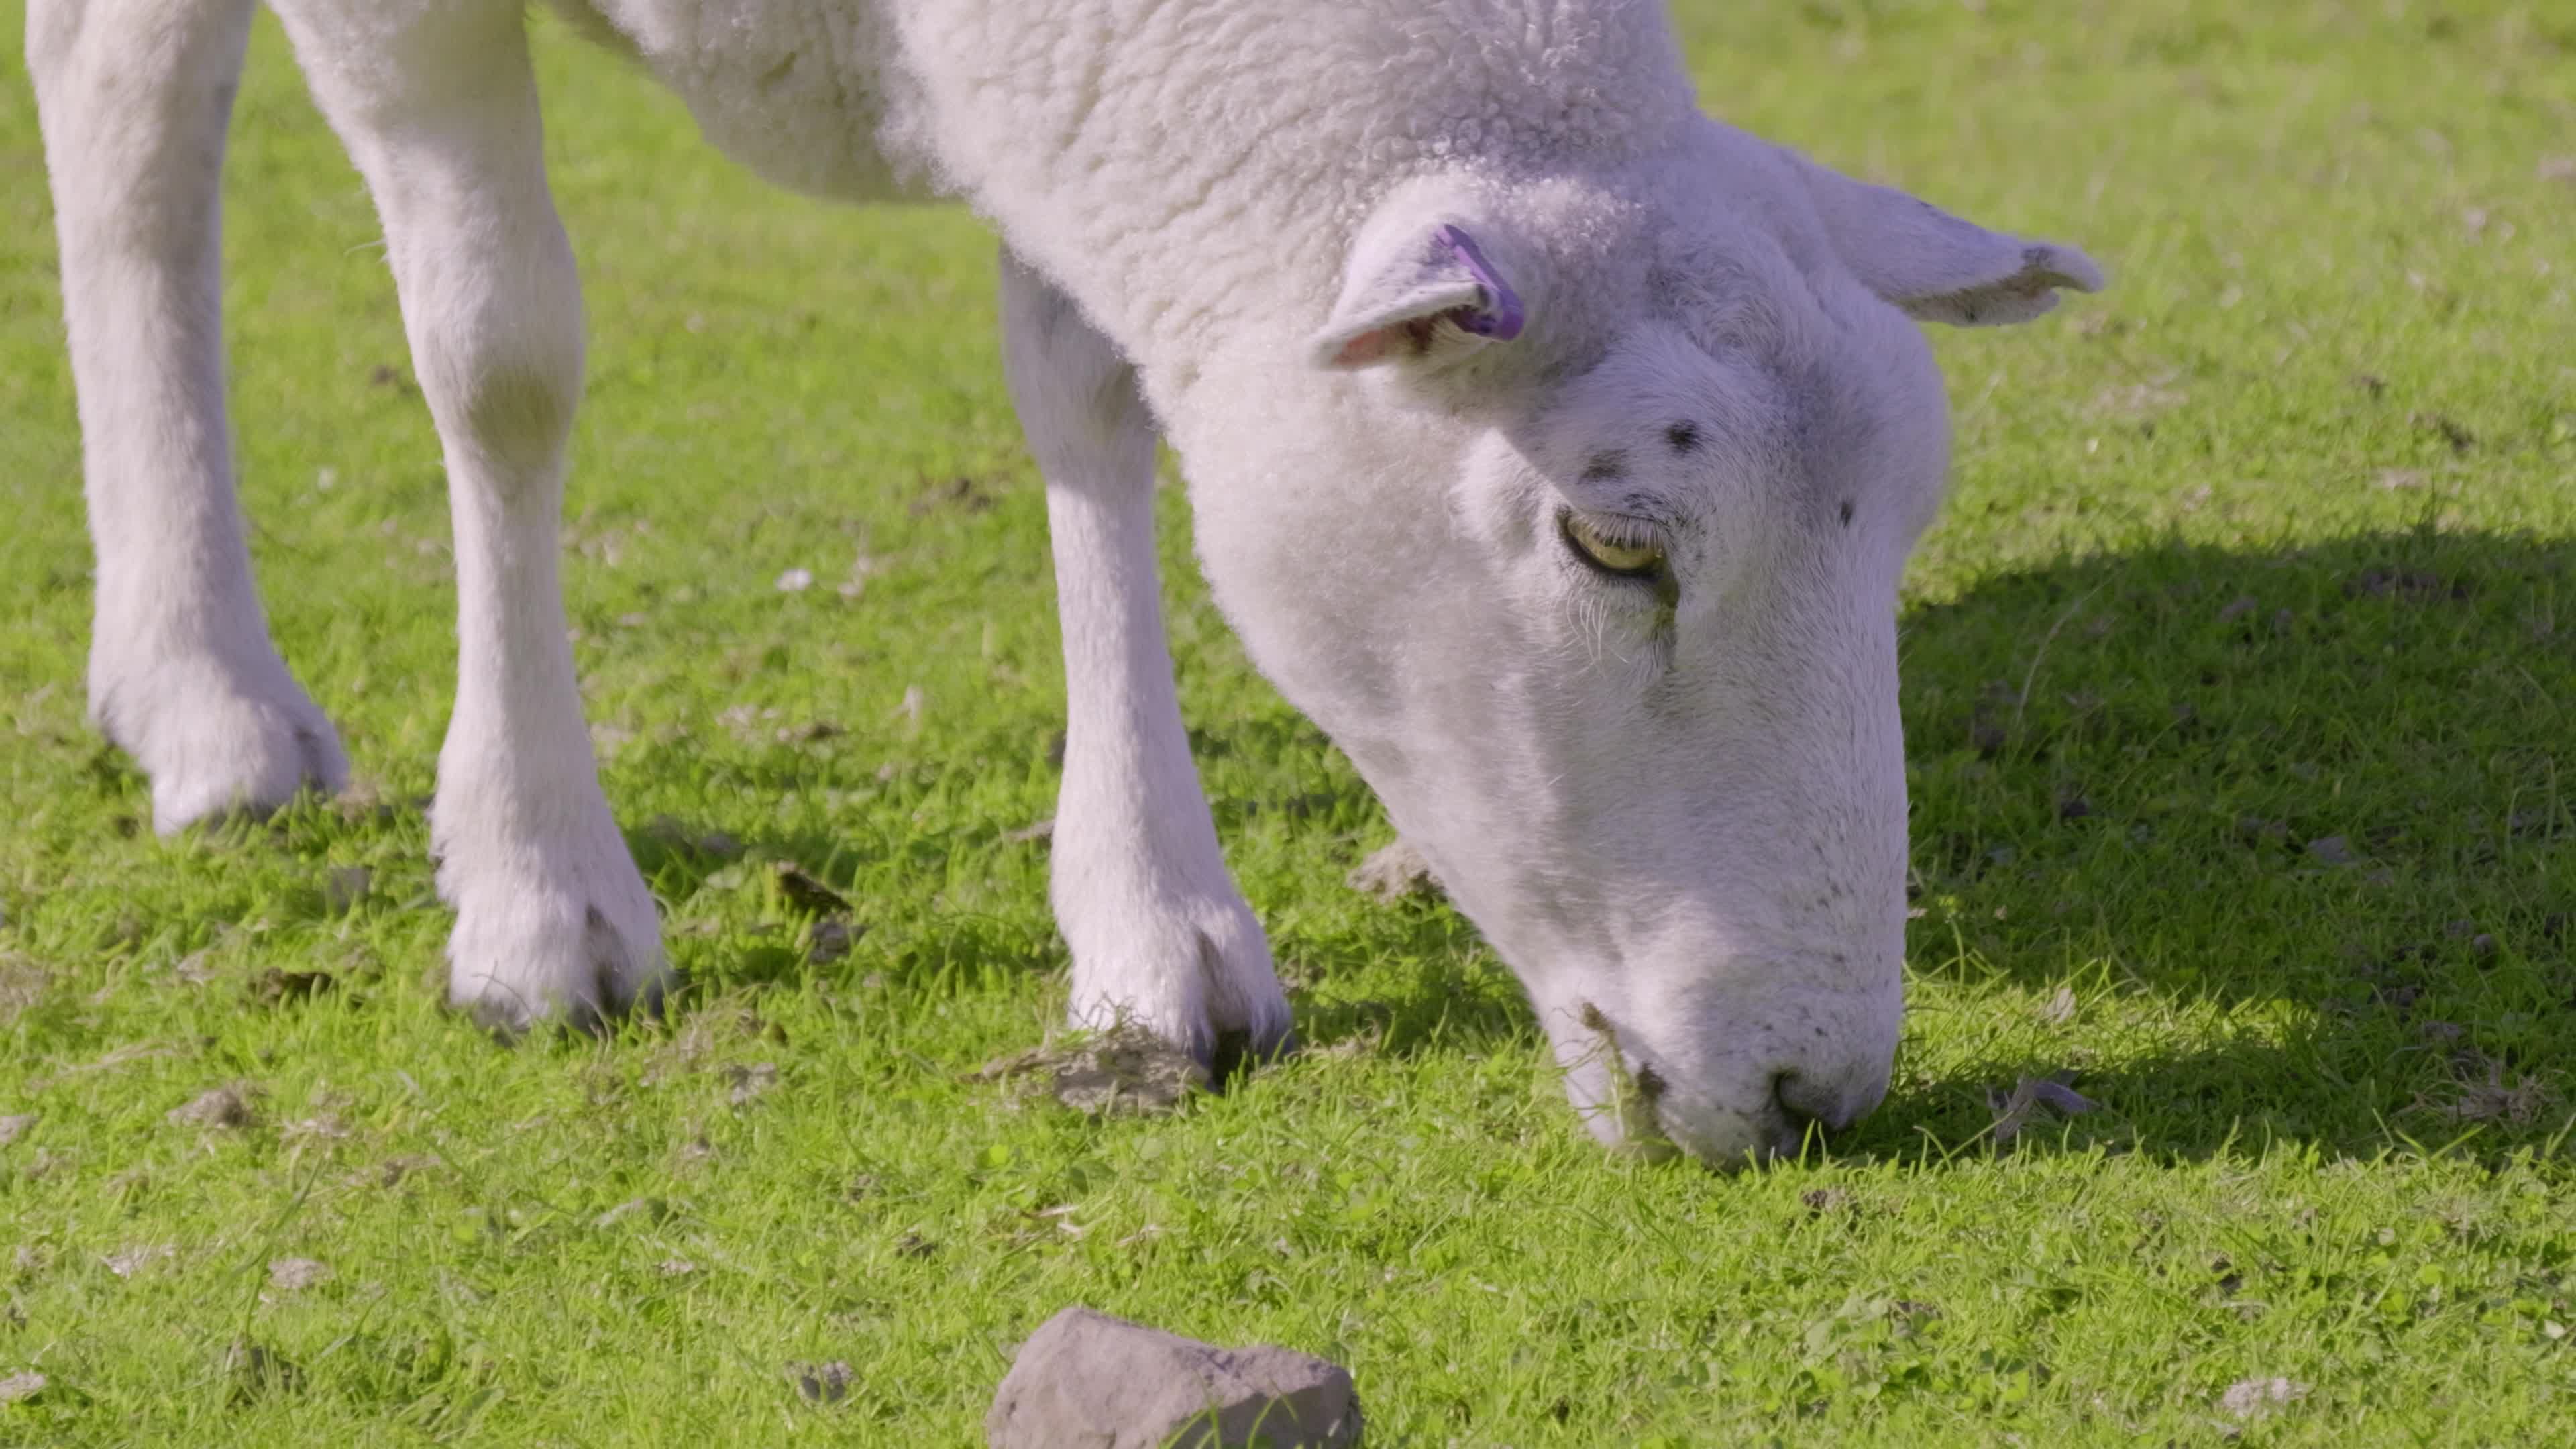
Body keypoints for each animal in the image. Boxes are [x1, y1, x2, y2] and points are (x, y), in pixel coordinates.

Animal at [28, 0, 2098, 1167]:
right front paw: (538, 898)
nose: (1817, 1094)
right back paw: (207, 694)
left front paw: (1150, 925)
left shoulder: (1078, 109)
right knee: (126, 96)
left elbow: (1090, 391)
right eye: (1613, 541)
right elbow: (500, 359)